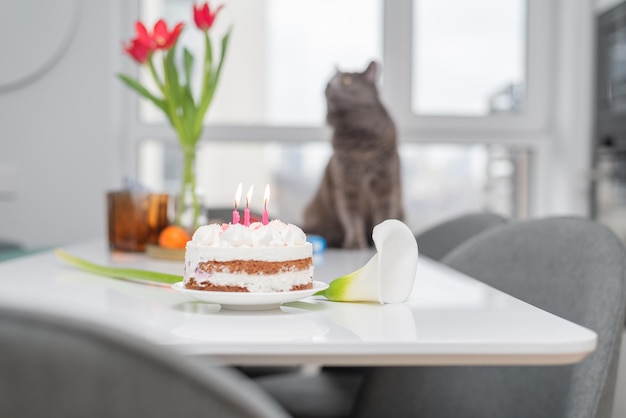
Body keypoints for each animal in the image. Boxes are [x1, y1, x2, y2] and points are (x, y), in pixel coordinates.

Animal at [304, 62, 404, 248]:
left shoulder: (387, 184)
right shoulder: (346, 186)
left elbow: (385, 214)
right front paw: (355, 243)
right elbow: (351, 217)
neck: (359, 141)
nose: (328, 85)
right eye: (329, 80)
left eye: (346, 80)